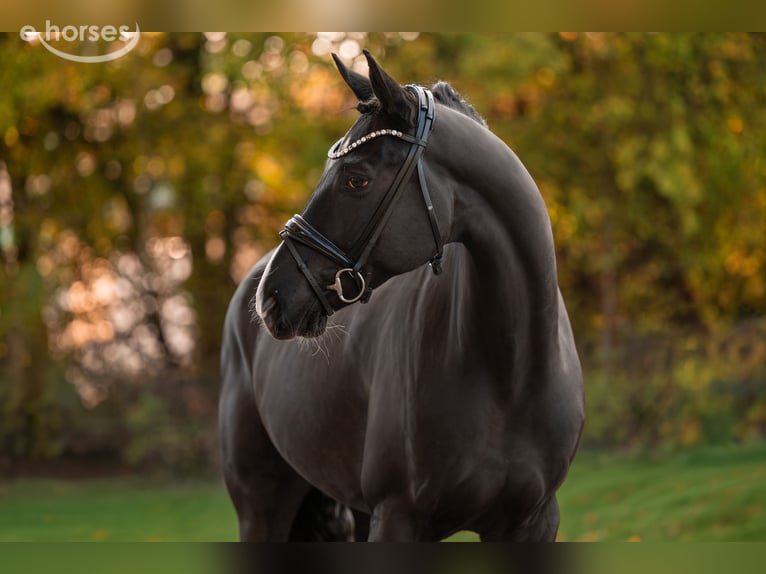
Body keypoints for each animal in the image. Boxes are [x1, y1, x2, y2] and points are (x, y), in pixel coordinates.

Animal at [219, 50, 584, 542]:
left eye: (356, 179)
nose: (272, 298)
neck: (512, 374)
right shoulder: (398, 518)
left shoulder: (534, 522)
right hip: (262, 510)